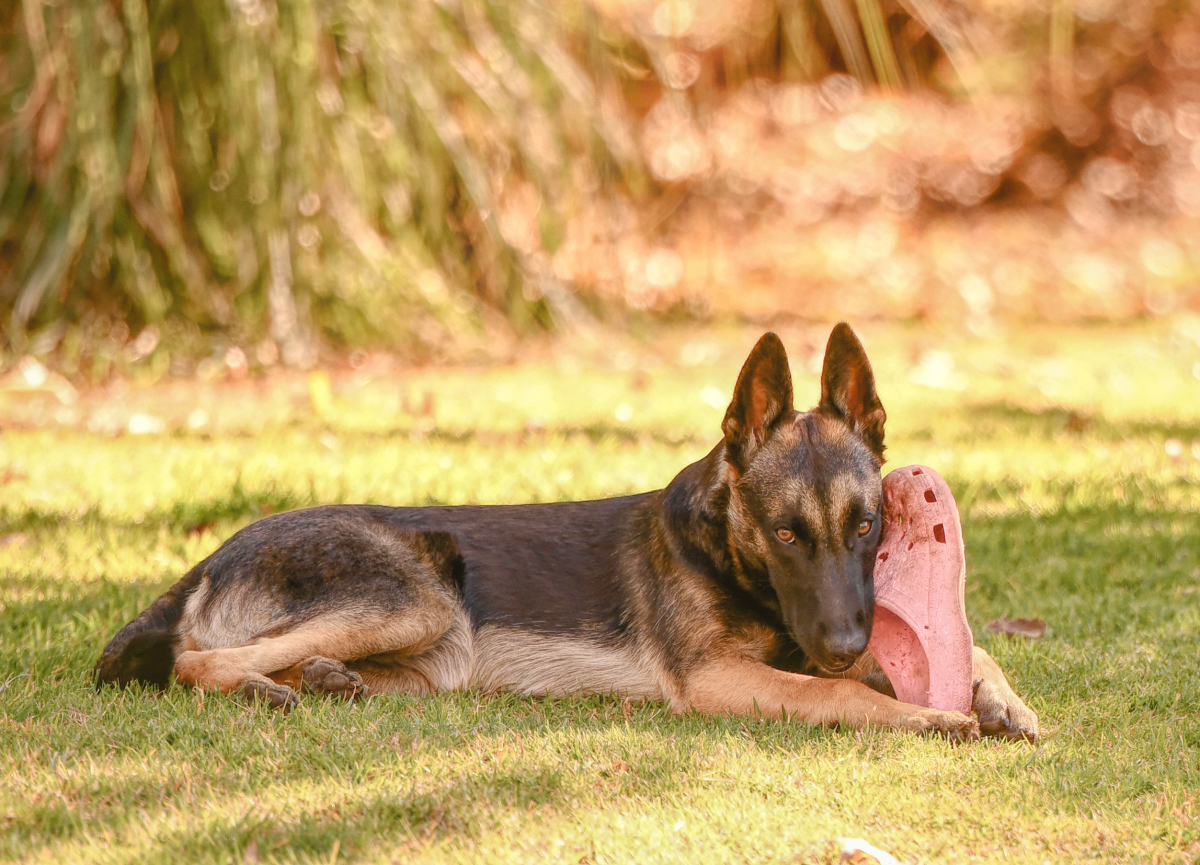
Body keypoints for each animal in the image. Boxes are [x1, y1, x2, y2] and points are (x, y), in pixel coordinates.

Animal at [98, 323, 1041, 743]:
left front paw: (998, 696)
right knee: (199, 660)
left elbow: (974, 655)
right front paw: (930, 714)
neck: (724, 551)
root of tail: (210, 558)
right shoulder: (720, 680)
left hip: (434, 655)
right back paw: (270, 690)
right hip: (416, 594)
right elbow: (848, 697)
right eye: (785, 535)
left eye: (866, 524)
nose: (845, 642)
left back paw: (326, 681)